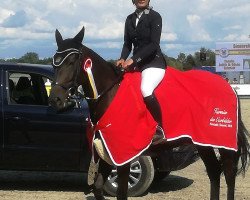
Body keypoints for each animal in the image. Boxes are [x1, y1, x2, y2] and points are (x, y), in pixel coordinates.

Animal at [49, 26, 250, 200]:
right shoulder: (107, 151)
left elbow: (122, 194)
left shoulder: (124, 157)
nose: (55, 99)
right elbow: (98, 188)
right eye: (54, 62)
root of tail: (228, 86)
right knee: (214, 172)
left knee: (229, 175)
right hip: (203, 143)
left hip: (223, 143)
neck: (111, 94)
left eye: (72, 62)